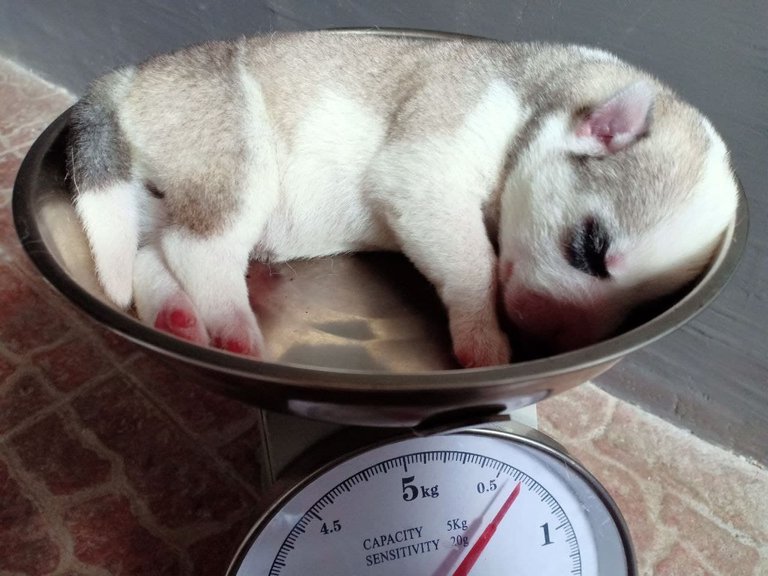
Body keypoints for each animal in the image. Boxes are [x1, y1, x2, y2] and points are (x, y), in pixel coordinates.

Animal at [69, 31, 740, 366]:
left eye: (642, 304)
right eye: (591, 249)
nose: (550, 347)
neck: (534, 99)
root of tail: (128, 77)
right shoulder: (426, 168)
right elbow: (473, 266)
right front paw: (483, 339)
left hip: (167, 191)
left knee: (152, 252)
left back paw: (178, 316)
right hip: (237, 161)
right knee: (197, 250)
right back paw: (233, 327)